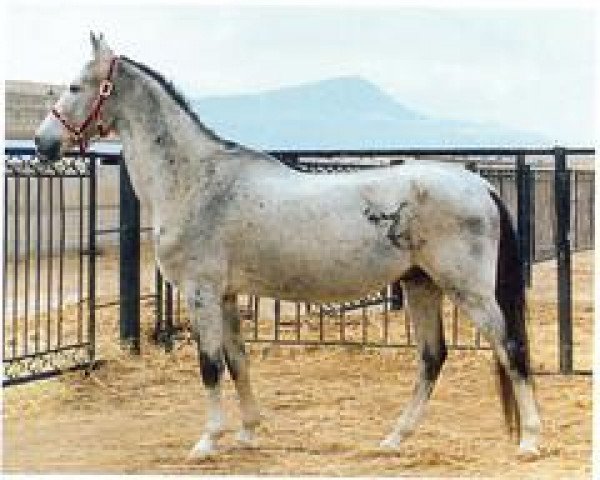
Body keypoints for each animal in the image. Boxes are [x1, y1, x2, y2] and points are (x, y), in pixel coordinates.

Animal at [32, 31, 540, 460]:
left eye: (75, 86)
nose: (42, 143)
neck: (196, 180)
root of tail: (478, 184)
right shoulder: (226, 296)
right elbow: (237, 362)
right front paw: (247, 432)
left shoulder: (201, 293)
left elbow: (210, 365)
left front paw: (207, 442)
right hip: (421, 285)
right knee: (432, 358)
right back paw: (394, 438)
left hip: (467, 289)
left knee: (510, 347)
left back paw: (530, 441)